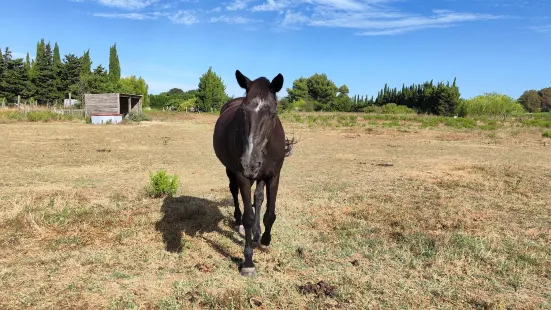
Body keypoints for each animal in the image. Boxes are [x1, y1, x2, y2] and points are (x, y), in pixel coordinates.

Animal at [212, 69, 286, 276]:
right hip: (231, 170)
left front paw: (265, 239)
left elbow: (269, 212)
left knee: (258, 198)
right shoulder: (243, 176)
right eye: (242, 111)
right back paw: (238, 223)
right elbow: (248, 217)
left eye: (272, 113)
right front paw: (248, 262)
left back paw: (257, 233)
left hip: (260, 175)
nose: (249, 164)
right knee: (234, 191)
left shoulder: (274, 176)